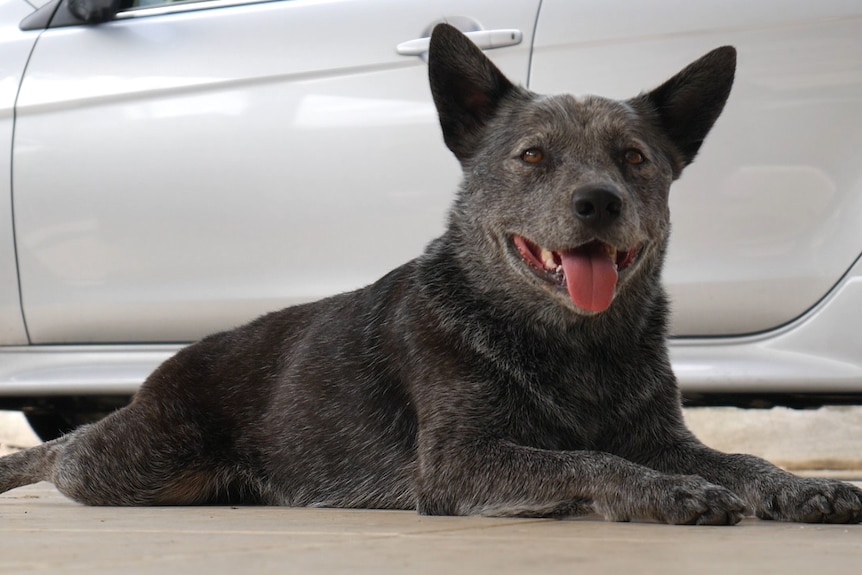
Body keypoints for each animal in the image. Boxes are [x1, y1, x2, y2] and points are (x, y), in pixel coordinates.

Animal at [1, 24, 862, 524]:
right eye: (533, 155)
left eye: (636, 157)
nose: (599, 201)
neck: (573, 347)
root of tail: (174, 362)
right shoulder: (461, 459)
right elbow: (585, 459)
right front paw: (660, 491)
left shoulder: (661, 433)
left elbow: (739, 459)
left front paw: (794, 485)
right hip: (137, 464)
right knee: (68, 449)